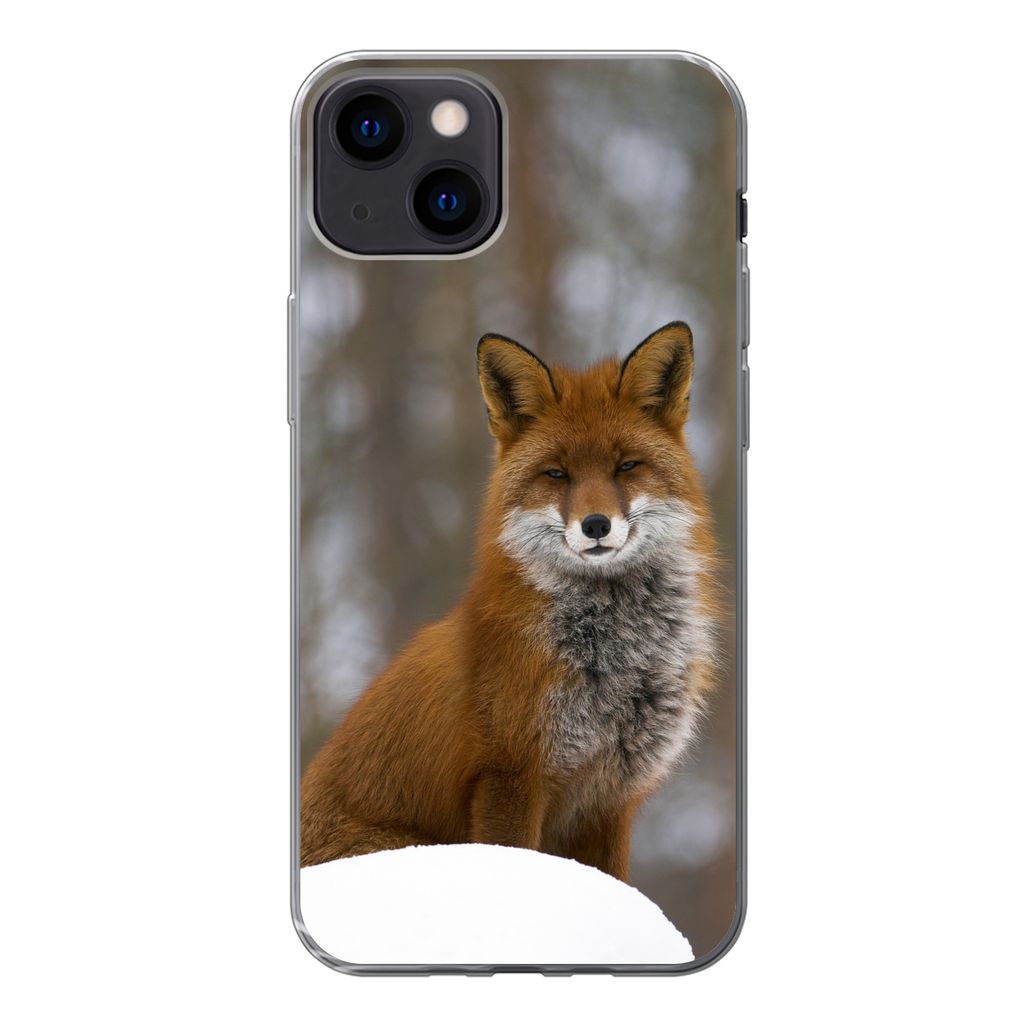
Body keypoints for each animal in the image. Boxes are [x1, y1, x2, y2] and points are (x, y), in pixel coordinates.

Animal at [300, 321, 719, 882]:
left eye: (627, 466)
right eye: (557, 474)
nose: (596, 525)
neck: (616, 662)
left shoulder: (611, 798)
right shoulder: (510, 775)